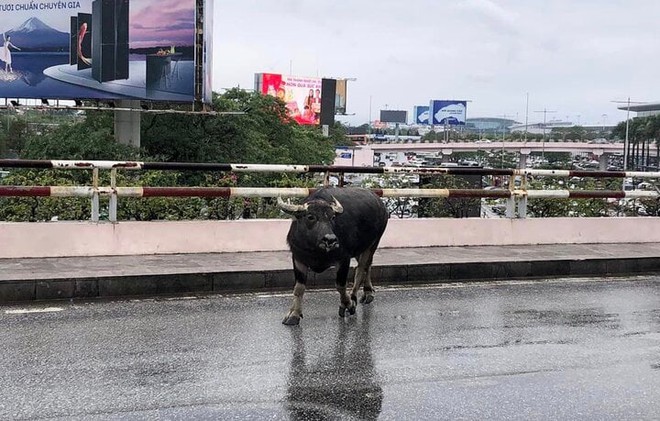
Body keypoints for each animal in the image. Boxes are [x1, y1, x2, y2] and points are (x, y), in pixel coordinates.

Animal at [278, 187, 390, 324]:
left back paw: (354, 297)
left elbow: (340, 285)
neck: (315, 250)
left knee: (361, 269)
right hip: (361, 248)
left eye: (332, 217)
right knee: (367, 266)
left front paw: (347, 305)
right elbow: (299, 288)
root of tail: (380, 204)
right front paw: (294, 314)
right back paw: (368, 293)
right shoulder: (298, 258)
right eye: (310, 216)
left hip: (374, 243)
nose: (330, 240)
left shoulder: (344, 259)